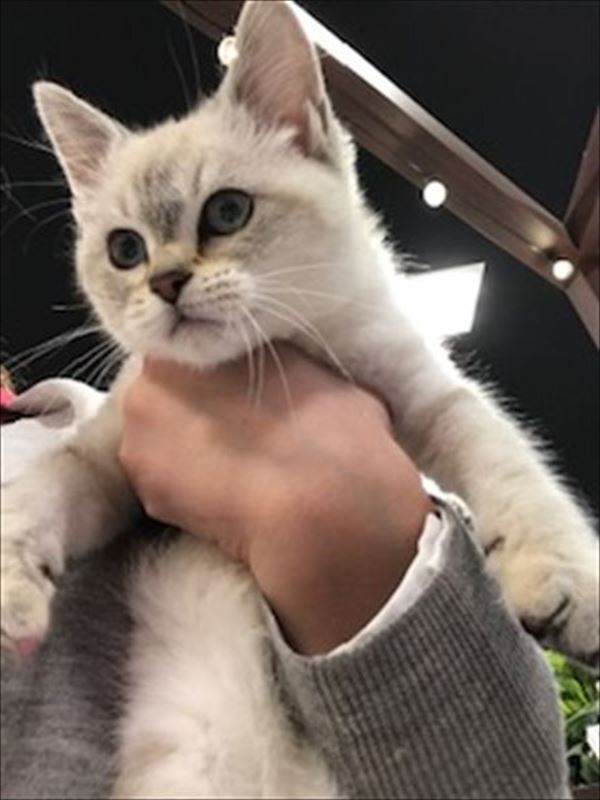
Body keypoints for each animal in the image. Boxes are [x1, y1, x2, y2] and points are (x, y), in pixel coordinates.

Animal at [1, 0, 598, 796]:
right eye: (125, 250)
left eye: (226, 212)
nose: (165, 282)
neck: (265, 358)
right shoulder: (109, 466)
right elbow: (39, 491)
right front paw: (9, 586)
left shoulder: (428, 395)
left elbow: (512, 469)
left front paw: (565, 578)